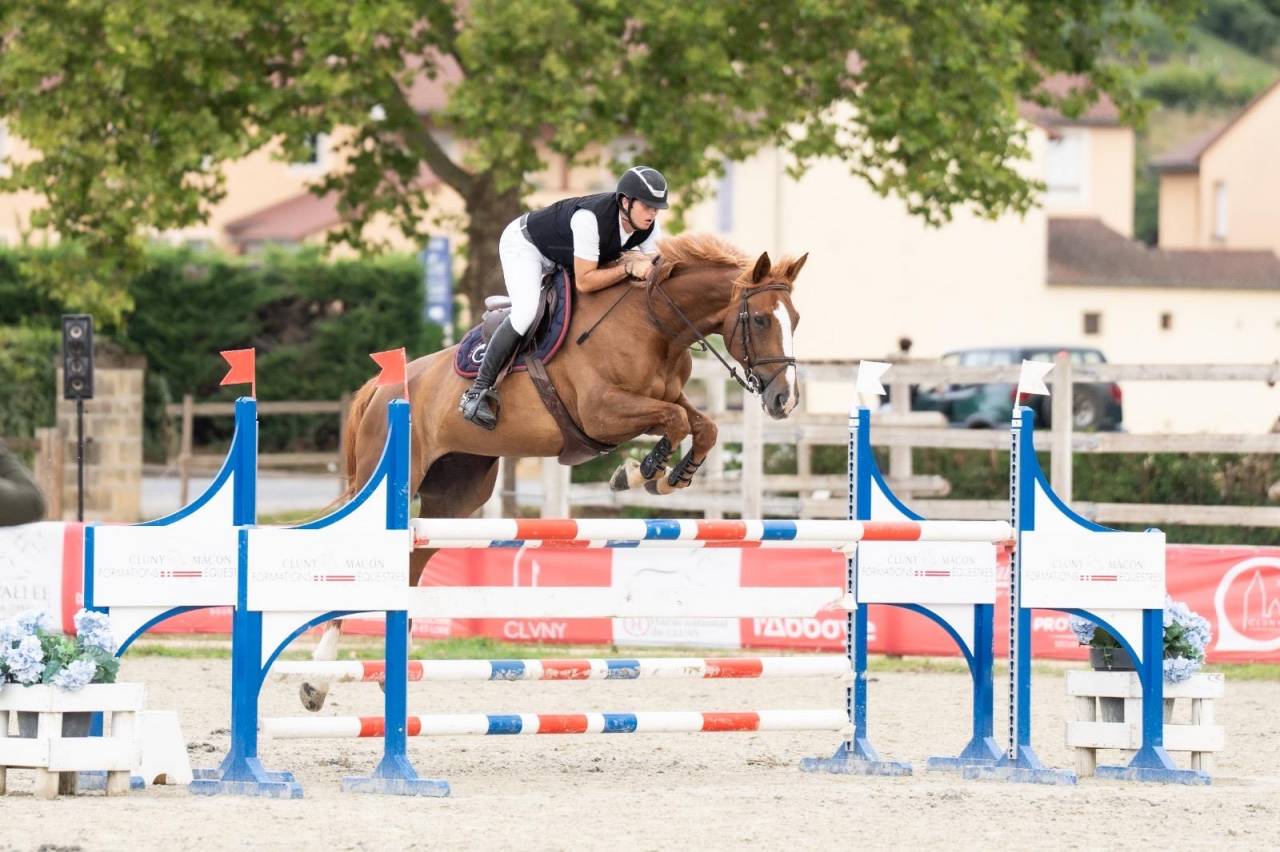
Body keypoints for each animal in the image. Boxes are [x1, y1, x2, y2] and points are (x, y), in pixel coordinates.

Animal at [299, 232, 808, 711]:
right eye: (761, 319)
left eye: (797, 320)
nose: (785, 400)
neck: (654, 322)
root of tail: (381, 388)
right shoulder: (602, 412)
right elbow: (677, 420)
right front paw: (639, 471)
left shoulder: (664, 398)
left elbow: (702, 425)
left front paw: (667, 476)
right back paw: (316, 681)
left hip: (454, 500)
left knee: (410, 564)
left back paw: (392, 673)